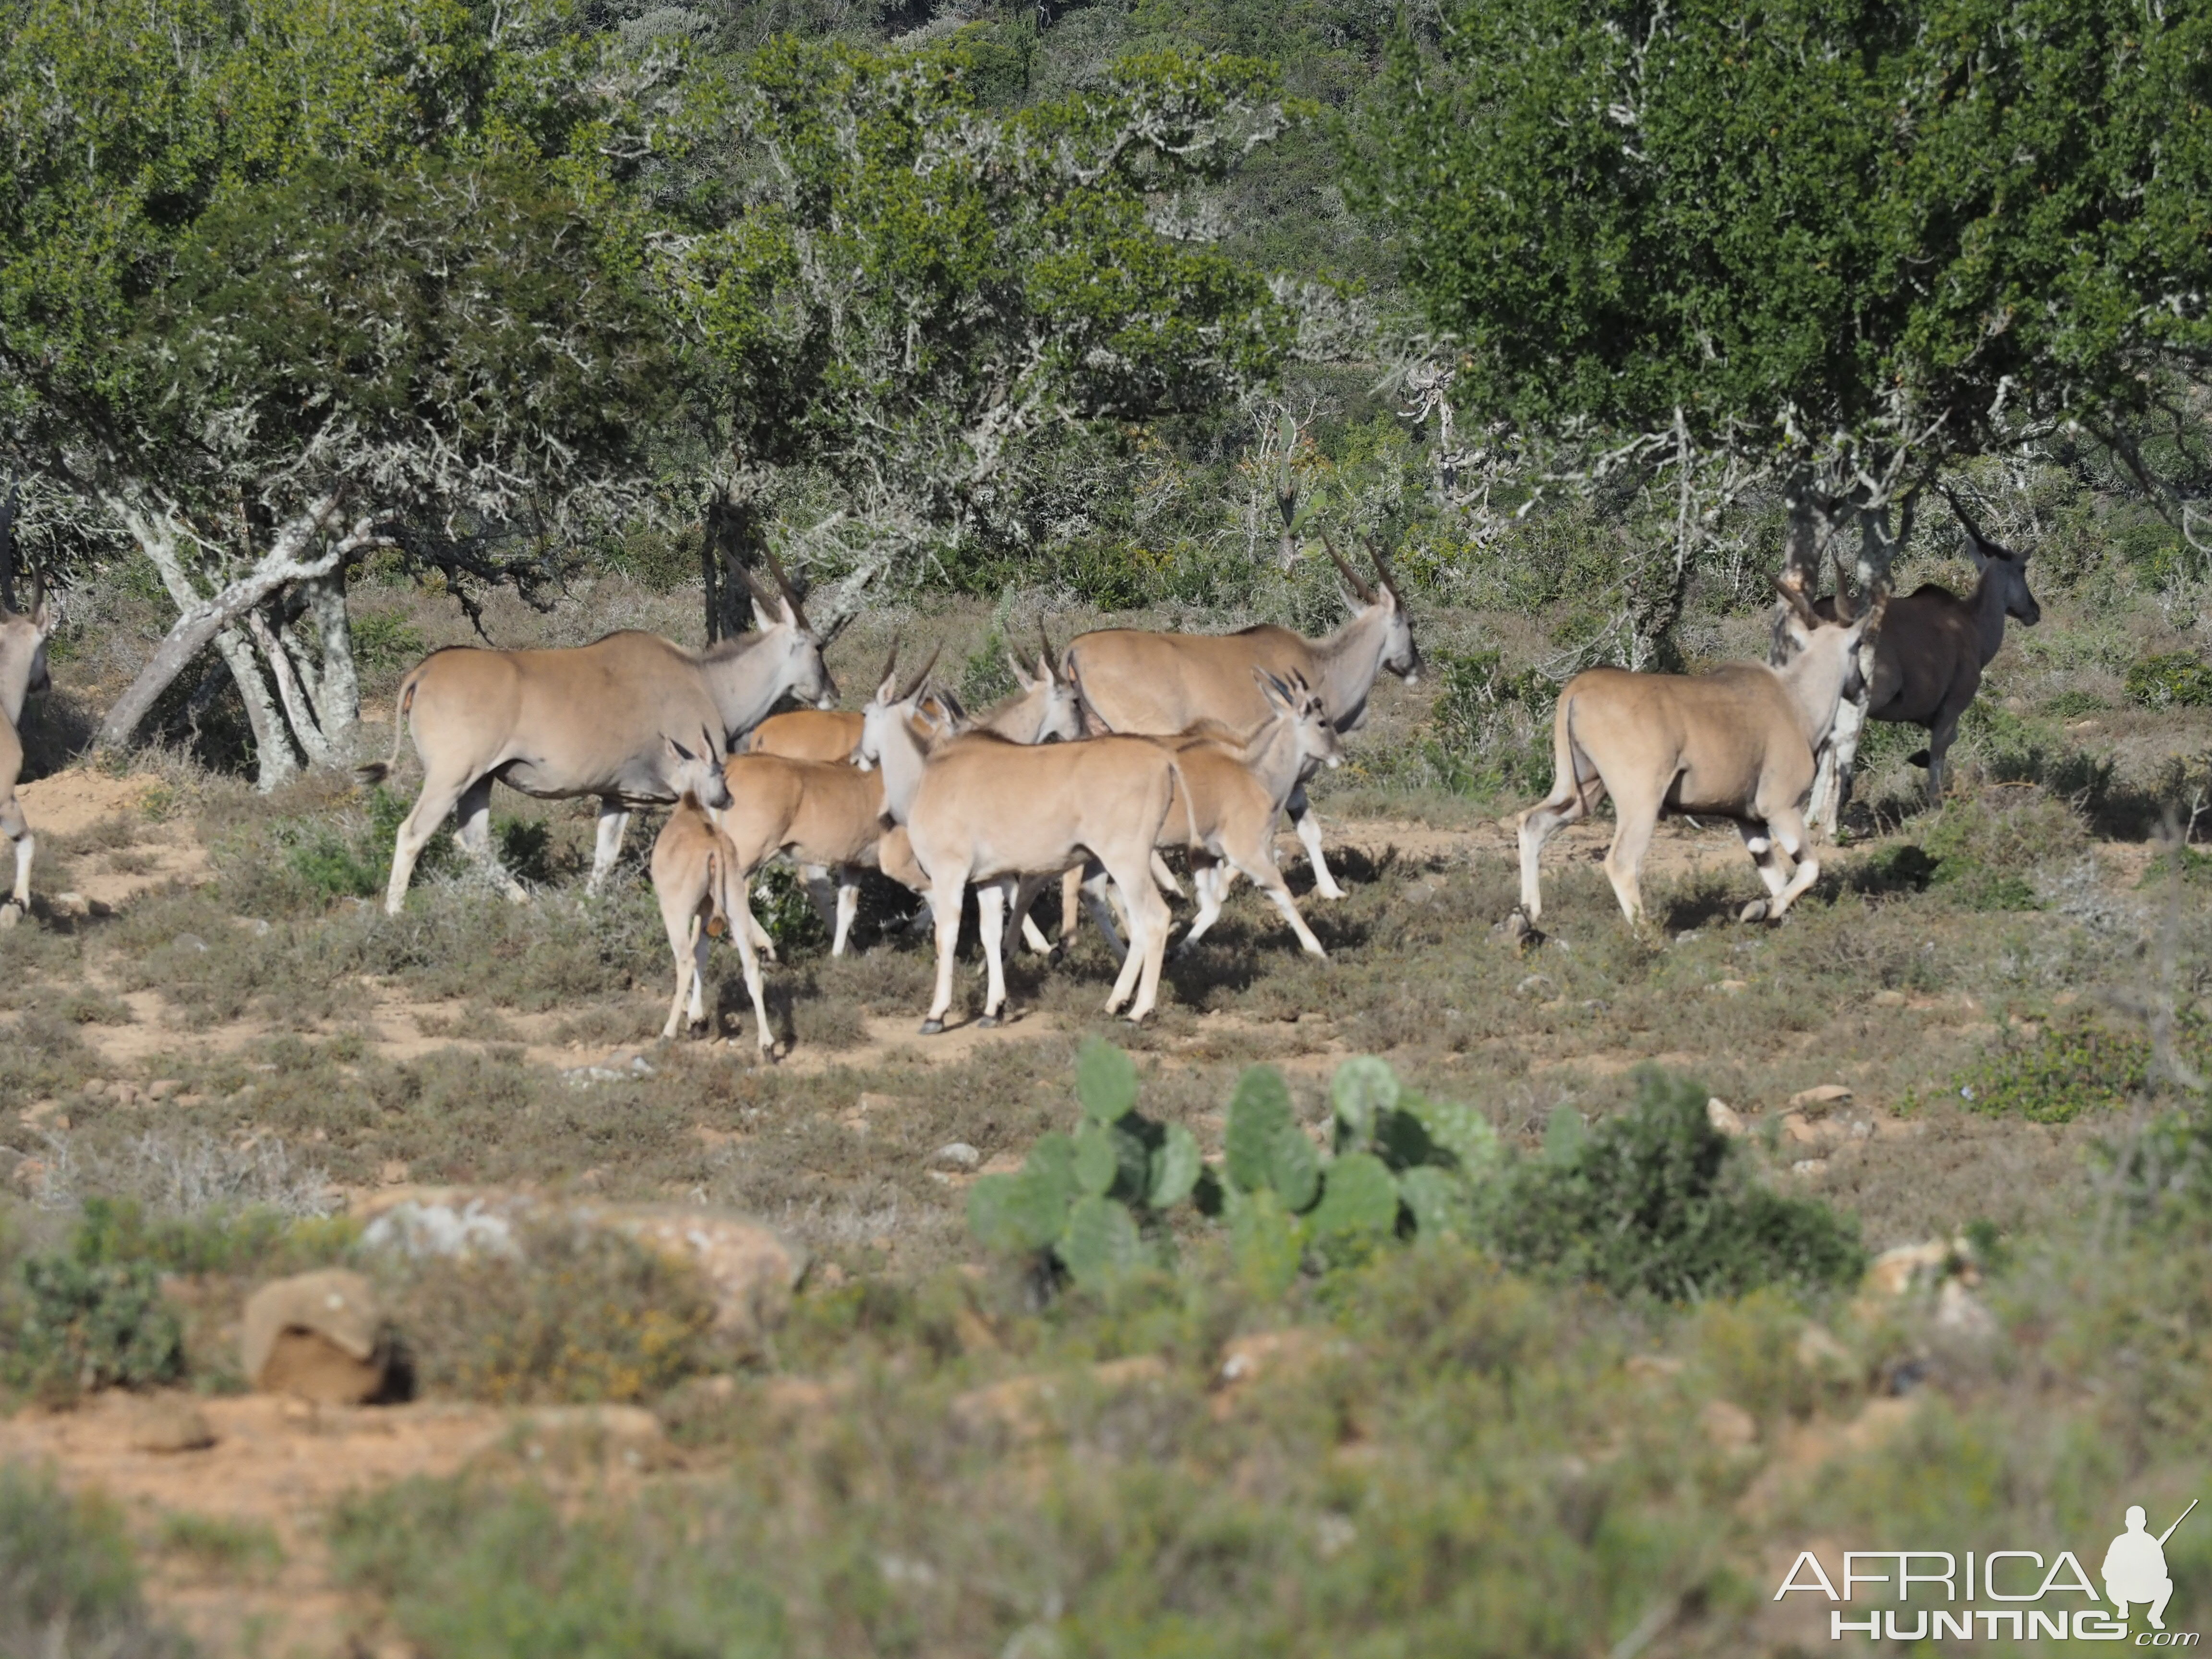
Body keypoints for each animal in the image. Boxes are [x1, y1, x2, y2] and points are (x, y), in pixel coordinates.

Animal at [362, 555, 836, 915]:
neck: (707, 683)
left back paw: (525, 902)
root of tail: (424, 672)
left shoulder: (619, 796)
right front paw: (766, 901)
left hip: (479, 780)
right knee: (413, 833)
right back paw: (395, 914)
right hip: (452, 776)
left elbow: (605, 857)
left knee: (472, 838)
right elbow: (732, 844)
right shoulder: (704, 788)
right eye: (818, 647)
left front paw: (586, 909)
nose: (832, 693)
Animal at [1057, 535, 1416, 911]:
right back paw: (1172, 887)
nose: (1414, 666)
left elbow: (1308, 831)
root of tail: (1075, 649)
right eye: (1411, 623)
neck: (1323, 666)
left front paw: (1331, 890)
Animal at [1522, 592, 1885, 938]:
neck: (1794, 701)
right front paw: (1760, 910)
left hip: (1581, 790)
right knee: (1622, 861)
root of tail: (1579, 688)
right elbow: (1808, 869)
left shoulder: (1749, 820)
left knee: (1532, 822)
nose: (1861, 686)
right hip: (1640, 801)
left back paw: (1527, 918)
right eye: (1858, 645)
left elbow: (1775, 875)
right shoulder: (1781, 807)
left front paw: (1772, 917)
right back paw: (1649, 938)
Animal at [1814, 486, 2035, 805]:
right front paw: (1936, 804)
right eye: (2023, 568)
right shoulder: (1953, 704)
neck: (1971, 623)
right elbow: (1939, 756)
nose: (2034, 610)